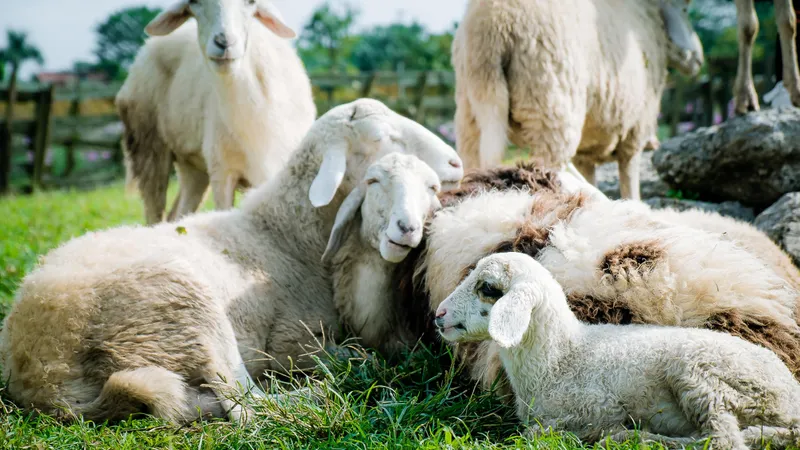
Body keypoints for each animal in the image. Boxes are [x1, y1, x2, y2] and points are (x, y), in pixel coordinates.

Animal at [0, 99, 464, 425]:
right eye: (385, 137)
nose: (457, 162)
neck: (282, 231)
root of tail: (42, 377)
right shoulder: (291, 341)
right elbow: (359, 357)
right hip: (185, 306)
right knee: (246, 405)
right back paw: (320, 397)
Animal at [116, 0, 316, 225]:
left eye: (251, 3)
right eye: (194, 3)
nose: (224, 41)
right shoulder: (222, 172)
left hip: (192, 165)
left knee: (179, 213)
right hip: (148, 147)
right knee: (155, 214)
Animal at [434, 252, 800, 449]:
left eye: (487, 288)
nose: (439, 315)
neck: (561, 358)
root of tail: (790, 394)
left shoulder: (593, 408)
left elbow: (542, 431)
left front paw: (611, 433)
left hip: (703, 375)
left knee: (722, 439)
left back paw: (641, 438)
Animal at [451, 0, 704, 200]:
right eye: (684, 8)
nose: (699, 59)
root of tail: (492, 25)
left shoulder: (587, 149)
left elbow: (591, 176)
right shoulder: (636, 127)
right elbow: (630, 178)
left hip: (473, 106)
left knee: (473, 158)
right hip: (550, 102)